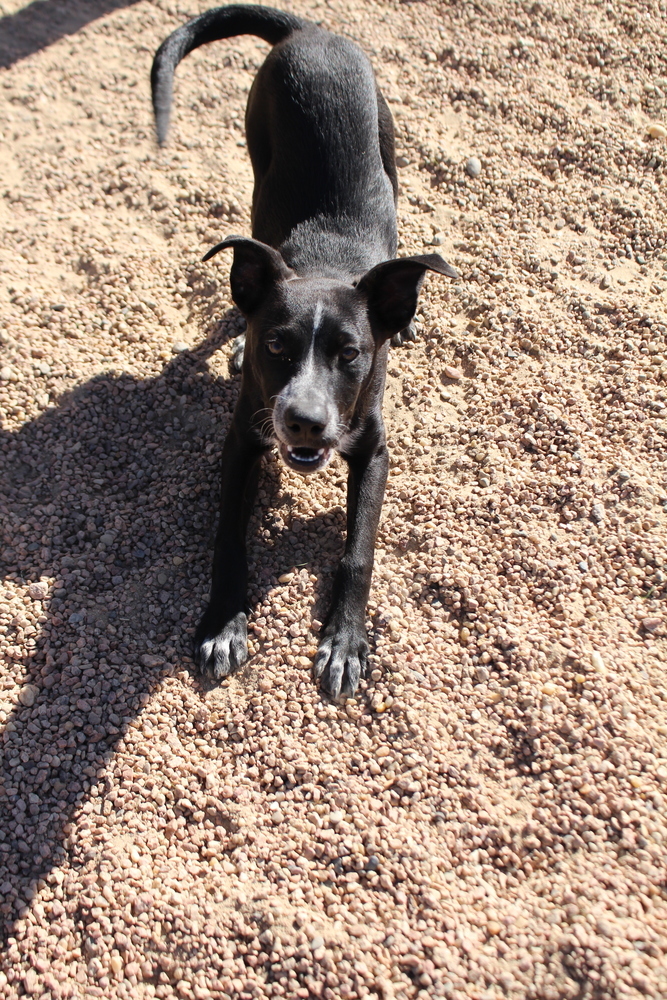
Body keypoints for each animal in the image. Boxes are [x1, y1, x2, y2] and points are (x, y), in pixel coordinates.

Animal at [151, 3, 456, 700]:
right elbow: (228, 539)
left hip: (388, 147)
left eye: (350, 353)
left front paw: (344, 642)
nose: (306, 423)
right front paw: (224, 623)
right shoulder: (243, 438)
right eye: (276, 344)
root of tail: (306, 31)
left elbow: (358, 551)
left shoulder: (373, 448)